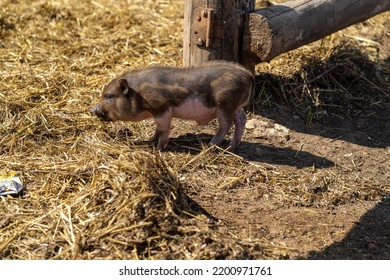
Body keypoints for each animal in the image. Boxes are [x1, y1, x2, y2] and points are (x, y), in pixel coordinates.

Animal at [92, 60, 256, 150]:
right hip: (235, 106)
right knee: (241, 119)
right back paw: (231, 146)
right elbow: (158, 129)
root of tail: (248, 75)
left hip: (225, 104)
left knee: (226, 125)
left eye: (109, 96)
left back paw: (210, 146)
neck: (139, 92)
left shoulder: (161, 108)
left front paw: (158, 148)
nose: (93, 109)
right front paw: (150, 141)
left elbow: (164, 129)